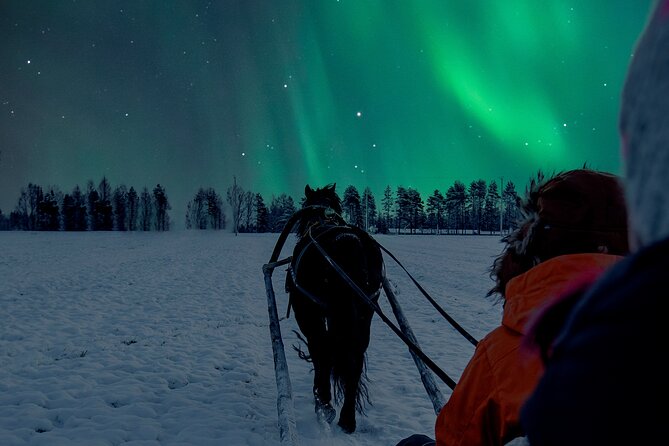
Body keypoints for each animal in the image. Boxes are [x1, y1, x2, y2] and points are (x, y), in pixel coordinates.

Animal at [284, 183, 384, 434]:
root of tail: (347, 241)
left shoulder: (309, 314)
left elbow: (320, 352)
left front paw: (321, 396)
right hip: (365, 312)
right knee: (354, 360)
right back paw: (347, 418)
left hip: (313, 312)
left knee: (322, 349)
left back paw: (325, 404)